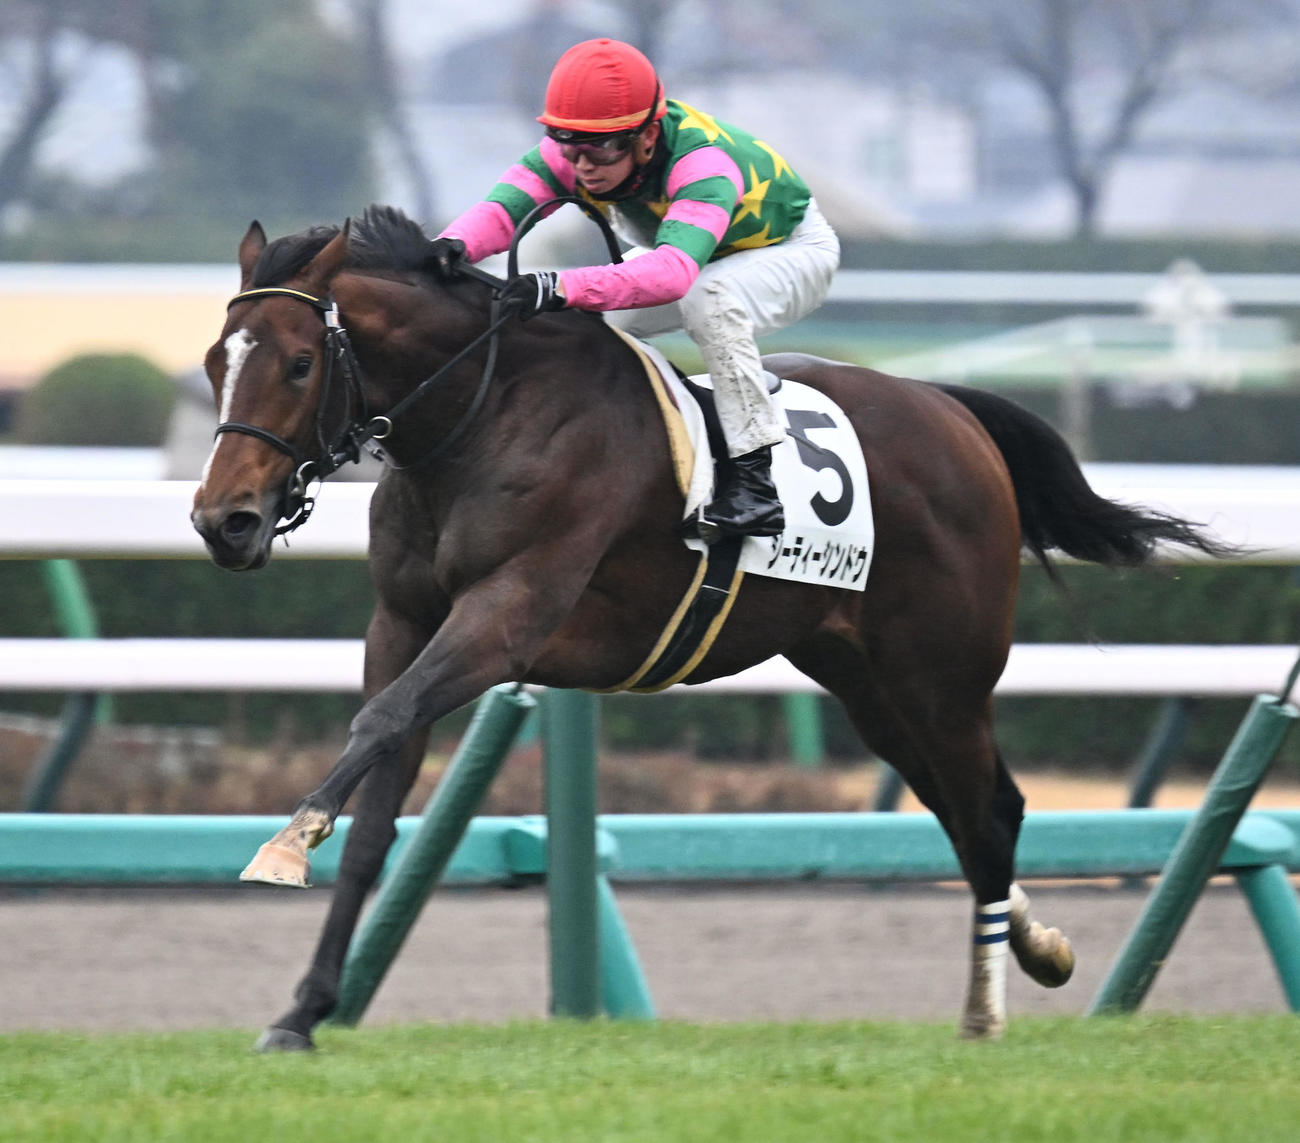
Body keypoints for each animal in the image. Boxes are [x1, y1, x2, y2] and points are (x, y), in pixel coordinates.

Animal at [192, 204, 1226, 1050]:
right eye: (213, 363)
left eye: (299, 362)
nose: (223, 521)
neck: (483, 415)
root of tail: (951, 409)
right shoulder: (402, 622)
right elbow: (378, 789)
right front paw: (302, 1009)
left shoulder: (510, 611)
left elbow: (380, 723)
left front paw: (286, 844)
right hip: (868, 682)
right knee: (966, 809)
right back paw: (1036, 947)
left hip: (943, 674)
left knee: (991, 807)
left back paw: (987, 1007)